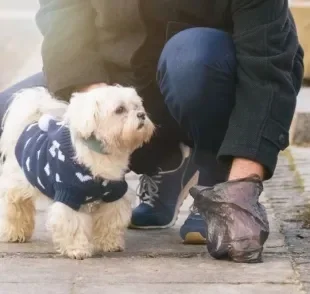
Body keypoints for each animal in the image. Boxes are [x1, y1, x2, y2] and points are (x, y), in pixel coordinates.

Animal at [0, 85, 154, 260]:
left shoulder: (114, 195)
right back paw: (14, 233)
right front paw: (77, 249)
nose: (142, 115)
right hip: (18, 183)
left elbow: (110, 221)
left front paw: (110, 243)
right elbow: (73, 225)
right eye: (119, 109)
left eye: (137, 106)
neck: (100, 155)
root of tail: (29, 126)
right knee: (14, 206)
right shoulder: (70, 195)